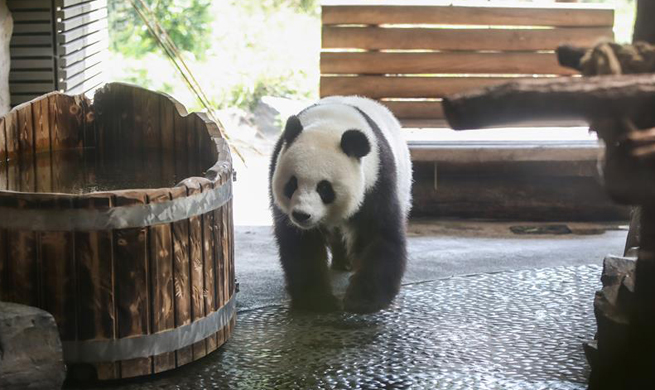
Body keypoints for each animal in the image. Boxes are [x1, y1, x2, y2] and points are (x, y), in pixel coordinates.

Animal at [270, 96, 412, 316]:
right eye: (292, 184)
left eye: (324, 188)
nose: (302, 215)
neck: (331, 124)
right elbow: (300, 246)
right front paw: (318, 301)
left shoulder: (377, 181)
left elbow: (380, 235)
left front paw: (362, 301)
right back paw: (342, 261)